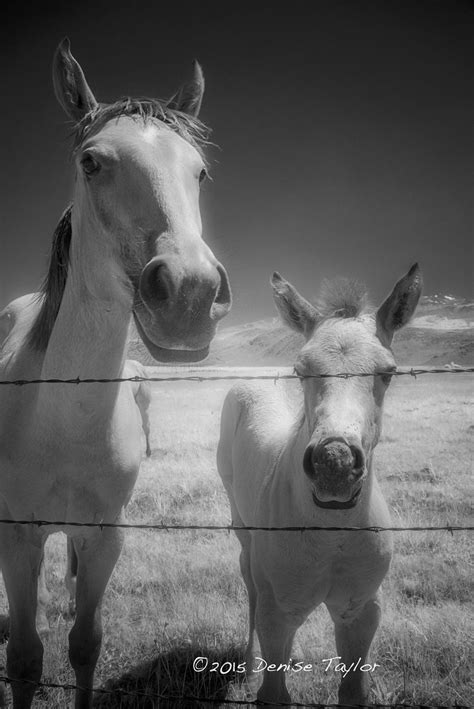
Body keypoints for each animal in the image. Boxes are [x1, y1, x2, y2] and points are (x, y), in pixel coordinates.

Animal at [0, 38, 231, 708]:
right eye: (91, 161)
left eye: (199, 172)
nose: (190, 294)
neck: (61, 418)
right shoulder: (16, 539)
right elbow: (24, 659)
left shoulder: (106, 537)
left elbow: (85, 646)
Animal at [217, 264, 422, 706]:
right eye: (301, 370)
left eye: (387, 372)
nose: (335, 464)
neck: (332, 534)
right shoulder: (278, 614)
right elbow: (274, 691)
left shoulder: (360, 610)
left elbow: (353, 691)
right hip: (243, 532)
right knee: (249, 583)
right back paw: (248, 663)